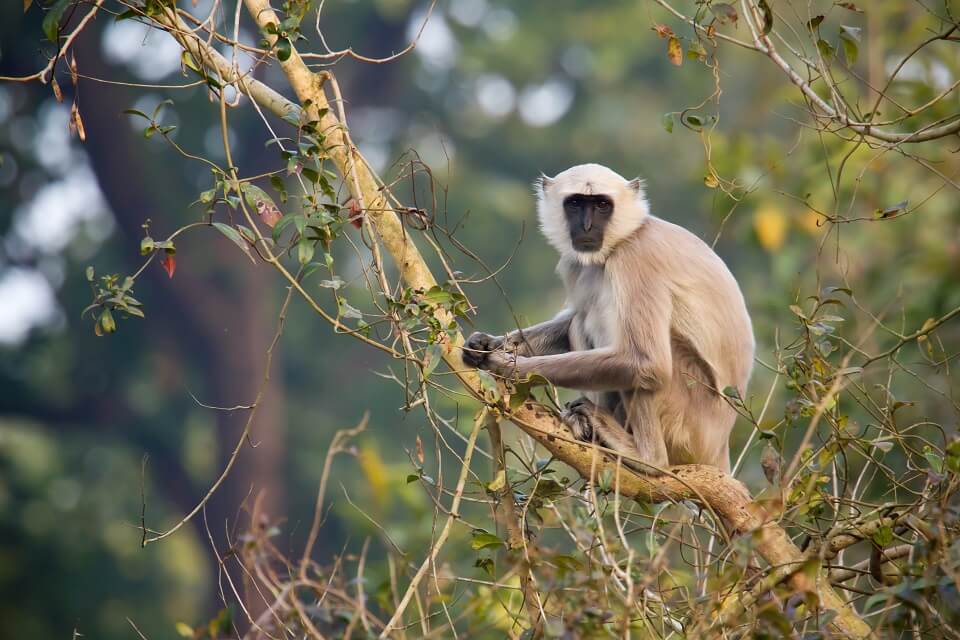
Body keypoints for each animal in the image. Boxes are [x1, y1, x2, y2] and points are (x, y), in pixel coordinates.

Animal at [462, 164, 752, 476]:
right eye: (576, 203)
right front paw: (486, 344)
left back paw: (648, 459)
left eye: (602, 205)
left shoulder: (636, 257)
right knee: (581, 321)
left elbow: (647, 361)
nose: (587, 226)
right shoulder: (577, 263)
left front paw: (506, 367)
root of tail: (719, 447)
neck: (629, 233)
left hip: (688, 421)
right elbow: (572, 317)